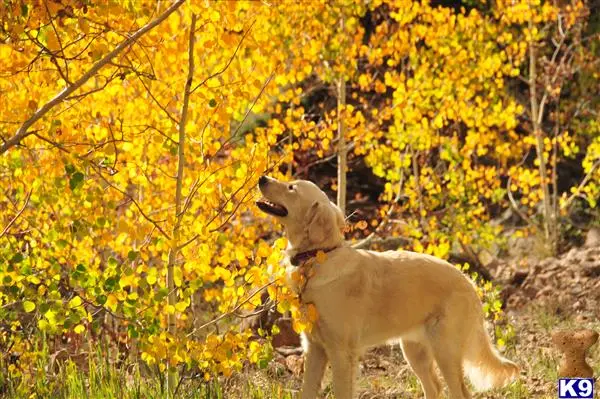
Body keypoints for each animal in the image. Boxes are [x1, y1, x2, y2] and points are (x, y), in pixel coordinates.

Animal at [255, 177, 516, 398]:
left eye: (291, 188)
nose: (262, 178)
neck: (317, 257)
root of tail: (469, 282)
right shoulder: (314, 349)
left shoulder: (341, 352)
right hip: (414, 351)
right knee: (434, 388)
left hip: (445, 350)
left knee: (459, 392)